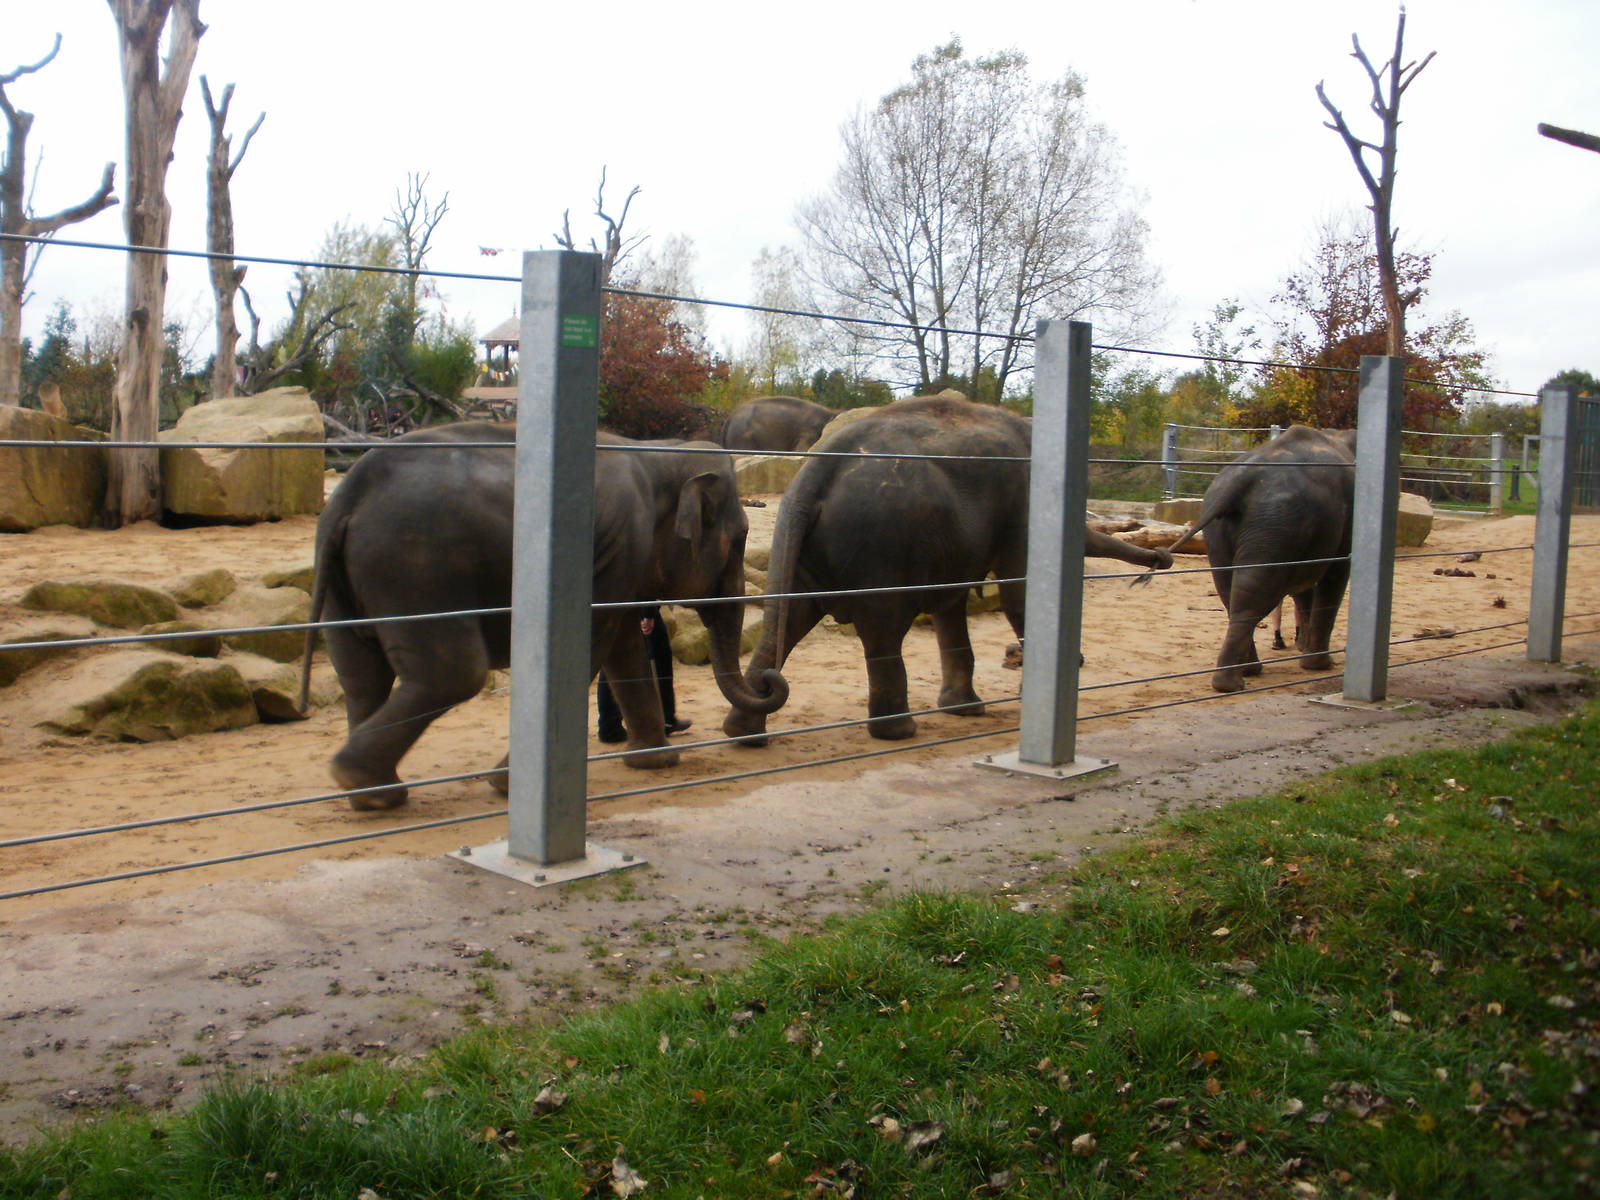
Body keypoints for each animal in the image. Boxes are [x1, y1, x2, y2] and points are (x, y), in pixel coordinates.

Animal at [301, 422, 786, 810]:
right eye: (741, 537)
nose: (768, 680)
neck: (659, 452)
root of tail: (349, 495)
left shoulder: (618, 557)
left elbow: (623, 645)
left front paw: (657, 762)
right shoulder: (620, 542)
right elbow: (592, 644)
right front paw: (507, 786)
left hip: (353, 580)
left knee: (362, 676)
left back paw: (373, 793)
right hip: (417, 569)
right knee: (453, 673)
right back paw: (362, 782)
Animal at [721, 396, 1175, 745]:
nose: (1163, 558)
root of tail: (813, 473)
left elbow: (951, 606)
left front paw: (964, 710)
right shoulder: (1023, 504)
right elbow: (1020, 593)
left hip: (813, 548)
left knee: (792, 618)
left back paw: (744, 734)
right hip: (880, 546)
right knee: (882, 628)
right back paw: (899, 732)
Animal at [1160, 424, 1357, 693]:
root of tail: (1242, 479)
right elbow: (1335, 575)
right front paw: (1320, 665)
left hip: (1228, 531)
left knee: (1231, 591)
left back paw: (1246, 672)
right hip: (1276, 524)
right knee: (1255, 595)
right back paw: (1233, 682)